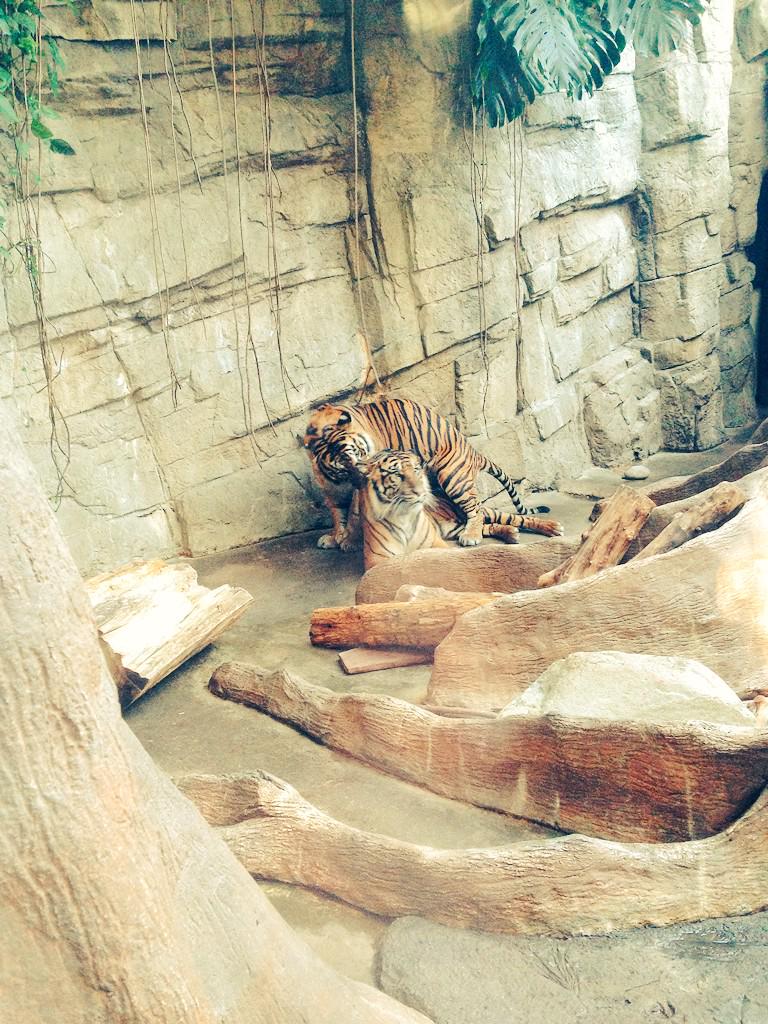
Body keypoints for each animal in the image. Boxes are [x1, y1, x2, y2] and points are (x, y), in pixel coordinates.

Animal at [302, 396, 550, 549]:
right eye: (343, 465)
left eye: (358, 454)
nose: (361, 476)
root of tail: (472, 451)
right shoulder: (331, 490)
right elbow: (338, 514)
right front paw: (335, 537)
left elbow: (353, 514)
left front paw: (349, 541)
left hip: (452, 476)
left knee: (475, 509)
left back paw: (470, 536)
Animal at [353, 450, 563, 570]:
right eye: (397, 474)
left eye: (416, 470)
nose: (421, 491)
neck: (405, 516)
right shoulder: (377, 560)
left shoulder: (436, 545)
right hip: (458, 527)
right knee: (484, 527)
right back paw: (511, 534)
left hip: (483, 510)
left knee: (513, 518)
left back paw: (553, 528)